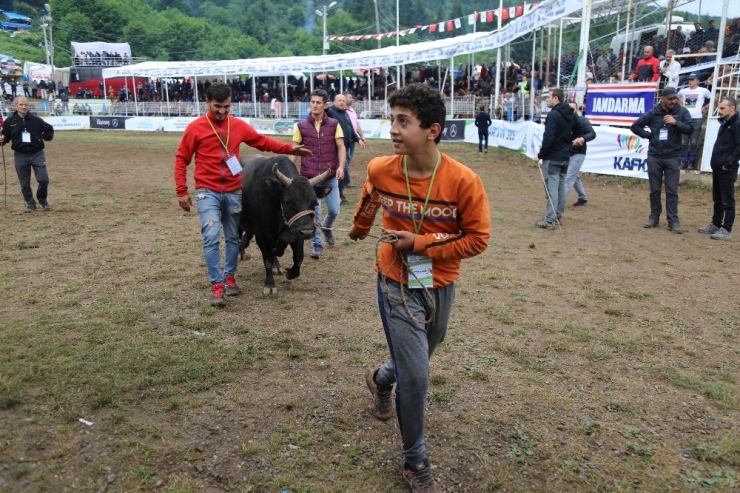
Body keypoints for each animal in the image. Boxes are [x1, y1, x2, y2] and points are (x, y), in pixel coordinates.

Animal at [240, 155, 330, 292]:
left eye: (315, 202)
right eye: (287, 201)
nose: (308, 232)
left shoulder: (296, 233)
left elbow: (298, 257)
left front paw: (291, 273)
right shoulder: (261, 236)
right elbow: (267, 259)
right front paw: (269, 284)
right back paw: (241, 253)